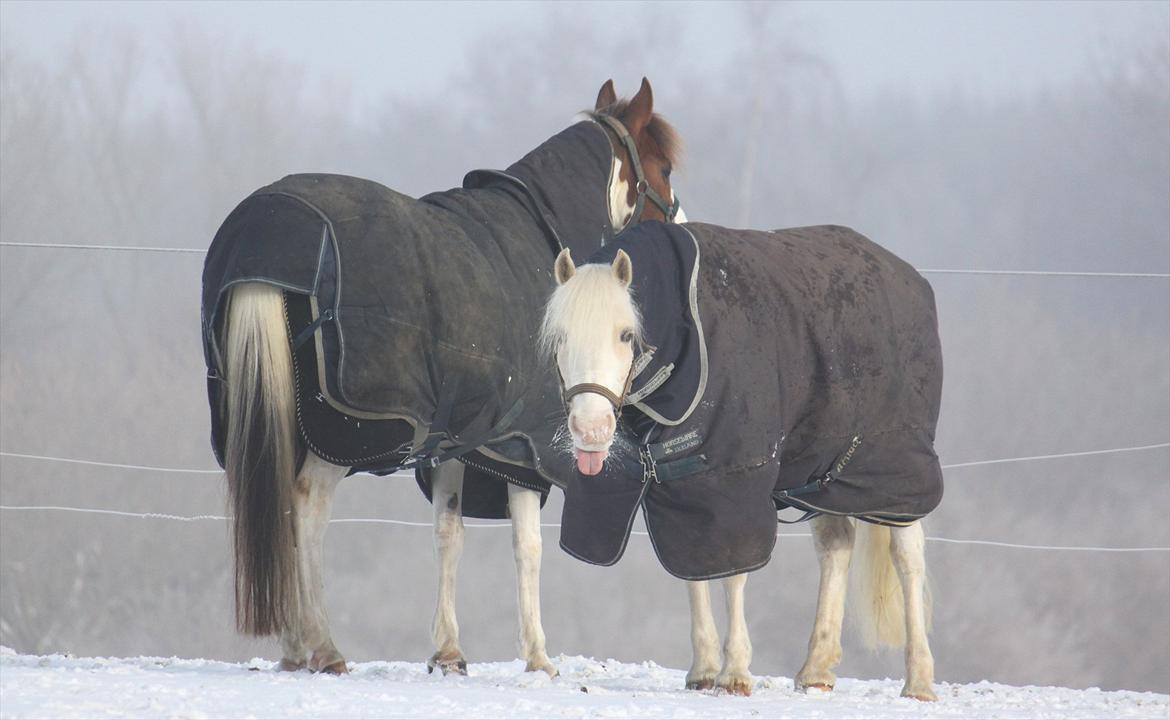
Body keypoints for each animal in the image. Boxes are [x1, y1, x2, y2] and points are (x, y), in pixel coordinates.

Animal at [197, 79, 683, 674]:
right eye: (663, 167)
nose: (680, 233)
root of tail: (265, 241)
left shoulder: (458, 440)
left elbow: (448, 531)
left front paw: (449, 649)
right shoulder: (528, 445)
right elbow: (528, 546)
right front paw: (538, 655)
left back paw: (294, 648)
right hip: (343, 430)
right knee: (306, 505)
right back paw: (320, 643)